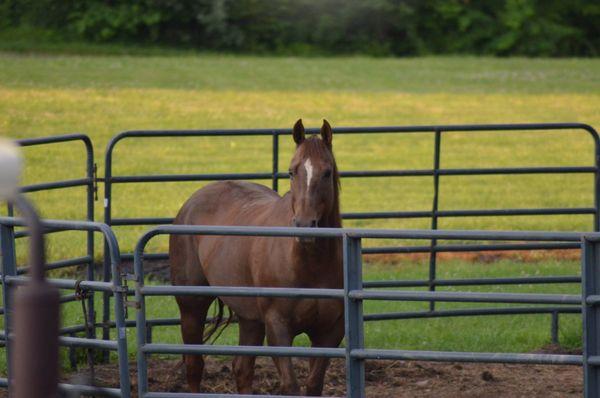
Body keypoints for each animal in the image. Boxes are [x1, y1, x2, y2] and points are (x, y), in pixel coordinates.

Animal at [169, 119, 346, 394]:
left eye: (327, 172)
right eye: (291, 172)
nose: (305, 224)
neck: (309, 265)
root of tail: (190, 204)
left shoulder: (330, 332)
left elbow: (313, 384)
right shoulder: (278, 327)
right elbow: (290, 385)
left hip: (250, 318)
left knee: (242, 369)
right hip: (191, 307)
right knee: (194, 365)